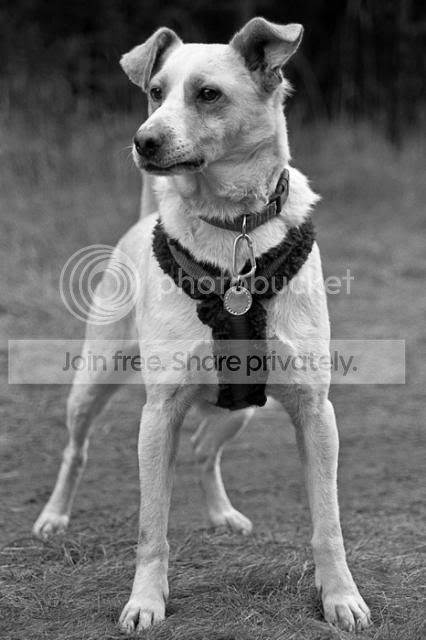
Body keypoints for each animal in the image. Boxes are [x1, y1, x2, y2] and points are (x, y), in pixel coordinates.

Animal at [33, 18, 371, 634]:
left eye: (207, 94)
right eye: (154, 91)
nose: (143, 141)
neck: (232, 226)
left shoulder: (316, 412)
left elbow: (328, 524)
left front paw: (341, 598)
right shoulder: (158, 413)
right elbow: (152, 528)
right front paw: (146, 602)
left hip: (241, 409)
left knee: (203, 449)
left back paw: (222, 515)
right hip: (94, 379)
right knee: (77, 450)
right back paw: (53, 517)